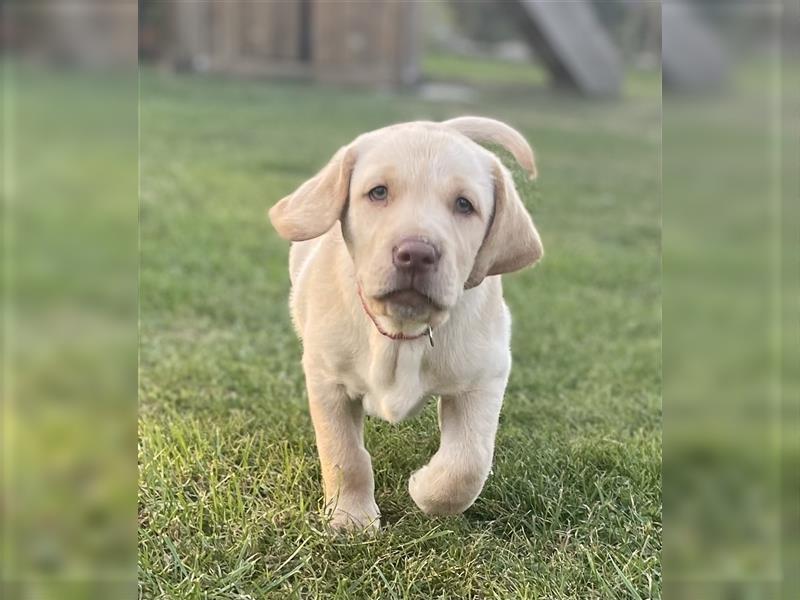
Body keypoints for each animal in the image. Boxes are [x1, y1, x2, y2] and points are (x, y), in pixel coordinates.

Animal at [270, 117, 544, 528]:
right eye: (378, 192)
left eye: (464, 204)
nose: (416, 254)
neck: (401, 331)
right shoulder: (327, 380)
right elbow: (343, 454)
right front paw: (351, 518)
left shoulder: (485, 375)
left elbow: (467, 463)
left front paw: (424, 488)